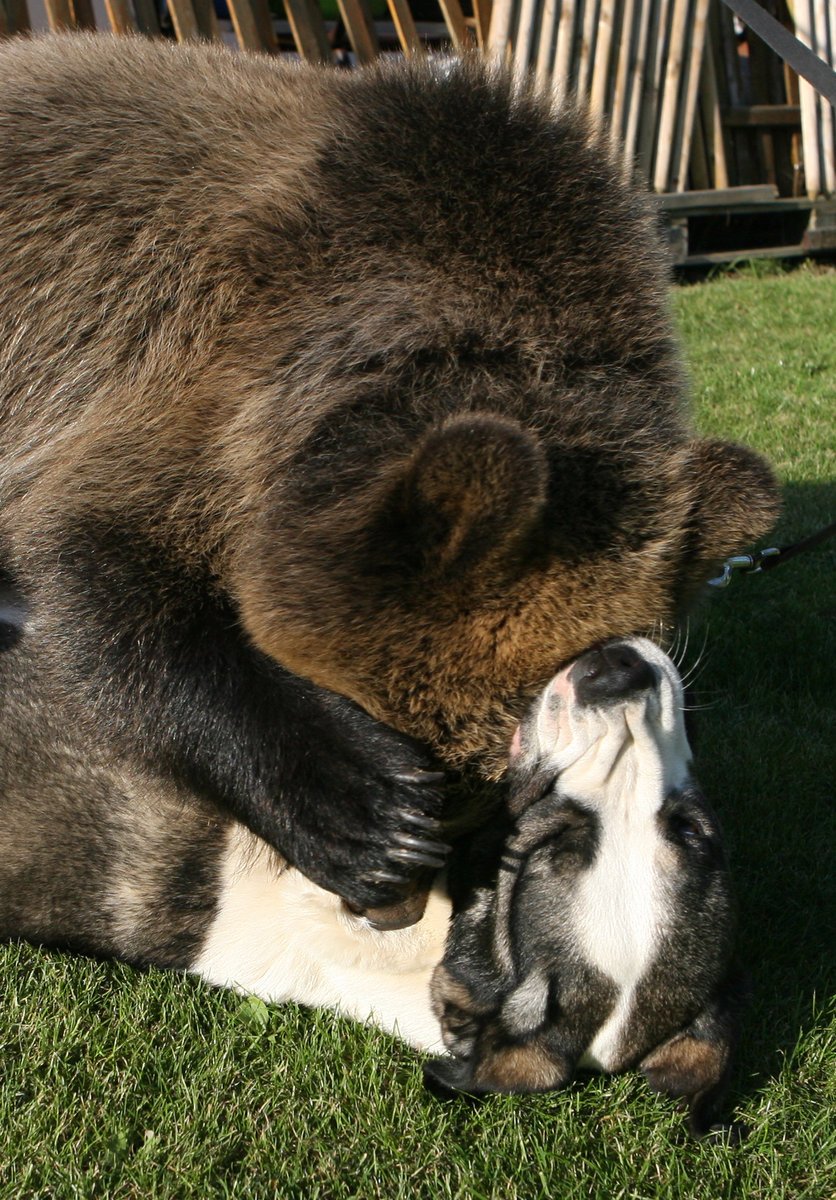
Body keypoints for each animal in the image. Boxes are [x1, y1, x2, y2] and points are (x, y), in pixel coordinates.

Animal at [0, 35, 777, 916]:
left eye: (495, 793)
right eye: (436, 765)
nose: (384, 907)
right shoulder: (190, 370)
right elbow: (105, 567)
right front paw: (364, 813)